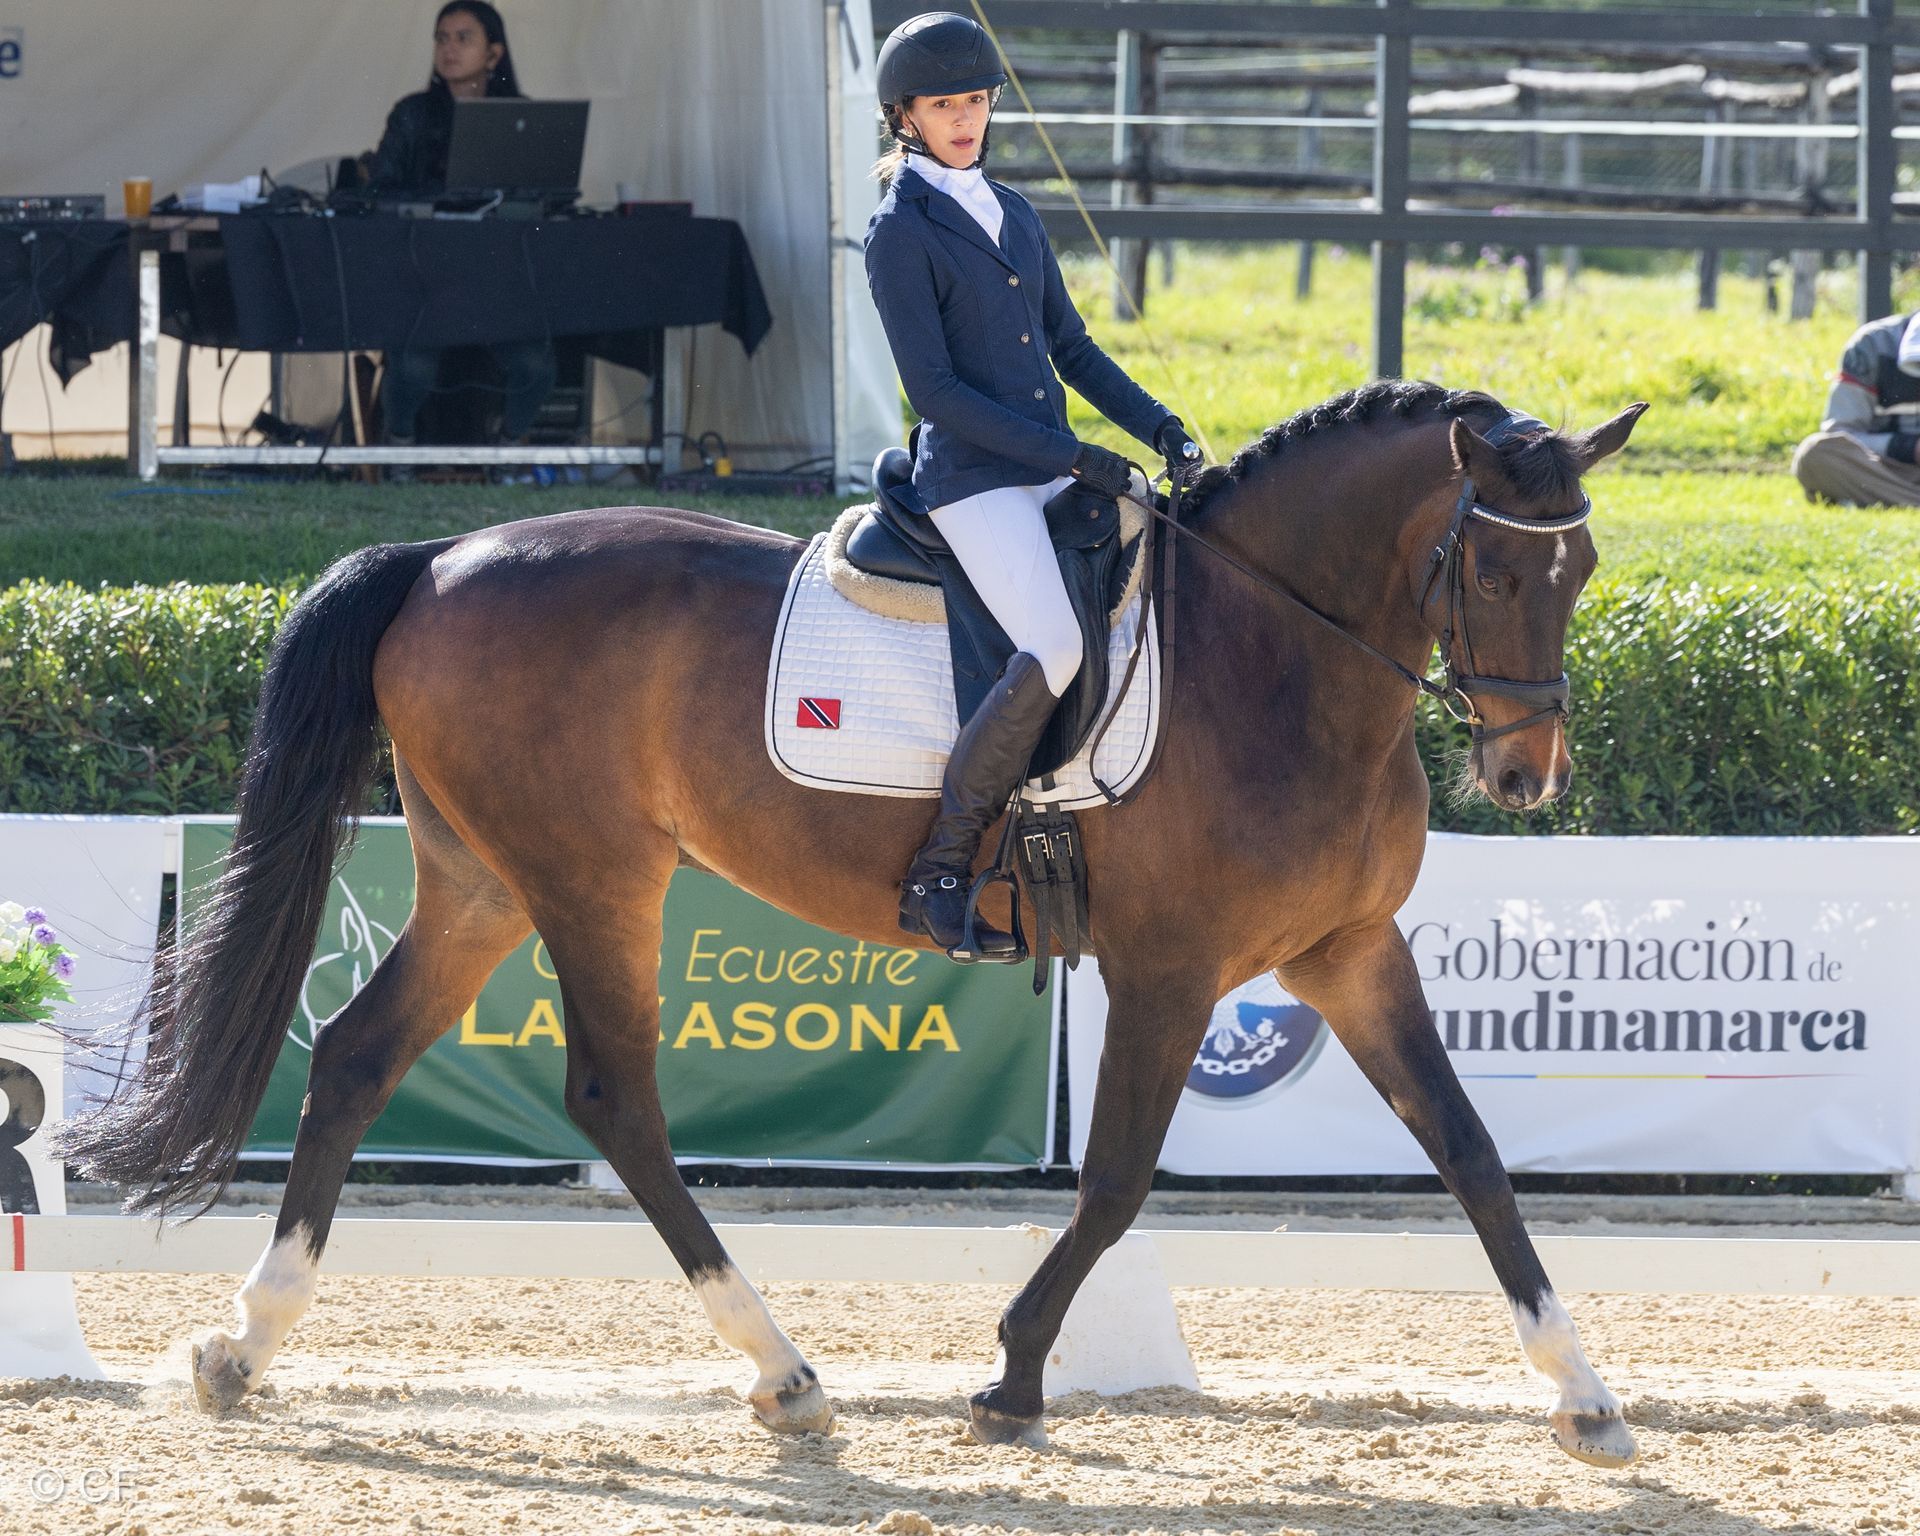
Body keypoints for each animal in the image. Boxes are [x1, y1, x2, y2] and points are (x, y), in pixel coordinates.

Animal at [60, 379, 1647, 1467]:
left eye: (1579, 572)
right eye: (1493, 569)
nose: (1528, 775)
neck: (1278, 655)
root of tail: (446, 552)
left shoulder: (1346, 954)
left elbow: (1475, 1156)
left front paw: (1587, 1398)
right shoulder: (1171, 969)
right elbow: (1115, 1184)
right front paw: (1013, 1380)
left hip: (483, 879)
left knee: (355, 1056)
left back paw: (244, 1348)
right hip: (590, 874)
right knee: (613, 1096)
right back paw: (784, 1373)